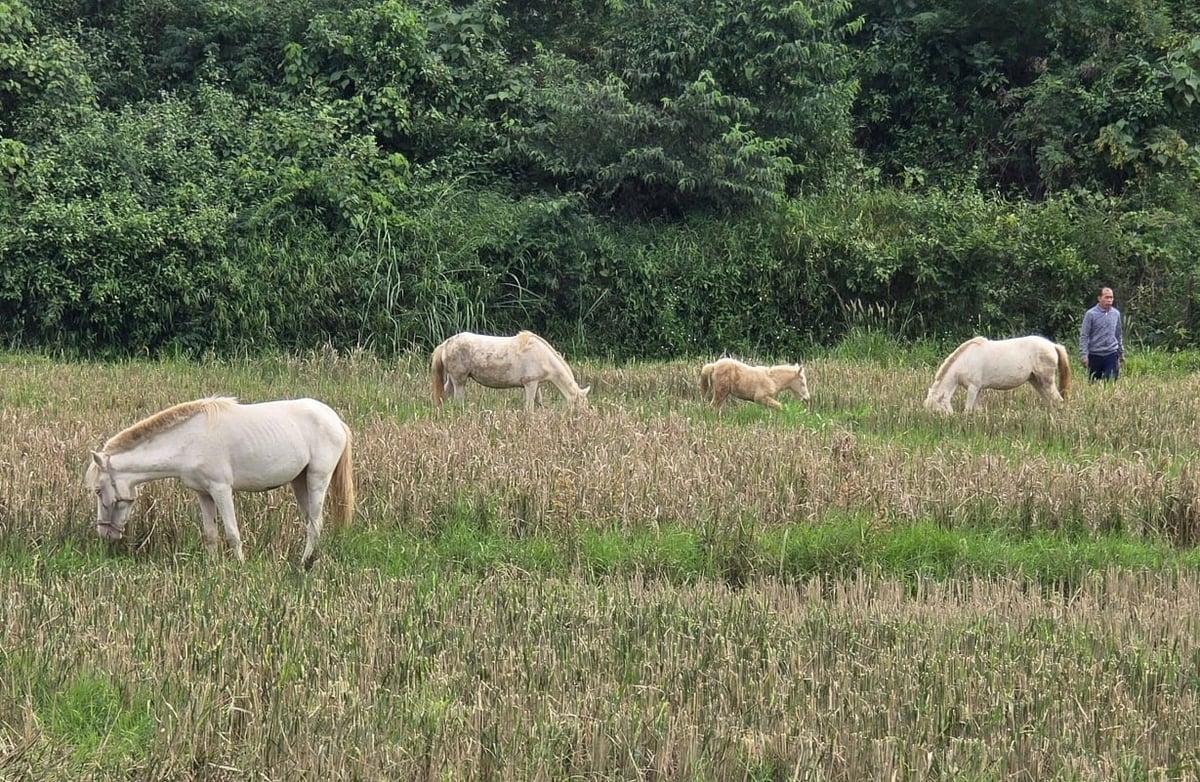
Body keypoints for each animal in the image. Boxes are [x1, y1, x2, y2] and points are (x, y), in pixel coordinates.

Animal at [85, 397, 354, 568]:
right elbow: (211, 534)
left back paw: (303, 563)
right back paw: (312, 558)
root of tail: (337, 421)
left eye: (98, 490)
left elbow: (232, 532)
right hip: (299, 482)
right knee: (312, 522)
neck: (188, 441)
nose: (103, 533)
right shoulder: (203, 493)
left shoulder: (221, 489)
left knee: (315, 524)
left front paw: (241, 567)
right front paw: (213, 568)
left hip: (317, 478)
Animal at [430, 330, 590, 410]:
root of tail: (446, 344)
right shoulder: (530, 384)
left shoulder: (536, 384)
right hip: (460, 381)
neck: (542, 356)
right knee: (458, 401)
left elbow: (539, 402)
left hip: (452, 380)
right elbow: (529, 407)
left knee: (443, 397)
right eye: (580, 405)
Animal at [923, 335, 1071, 414]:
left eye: (937, 411)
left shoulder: (973, 388)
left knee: (1058, 401)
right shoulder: (977, 390)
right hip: (1036, 381)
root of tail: (1052, 345)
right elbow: (978, 410)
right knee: (1049, 402)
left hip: (1046, 381)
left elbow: (967, 410)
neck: (965, 361)